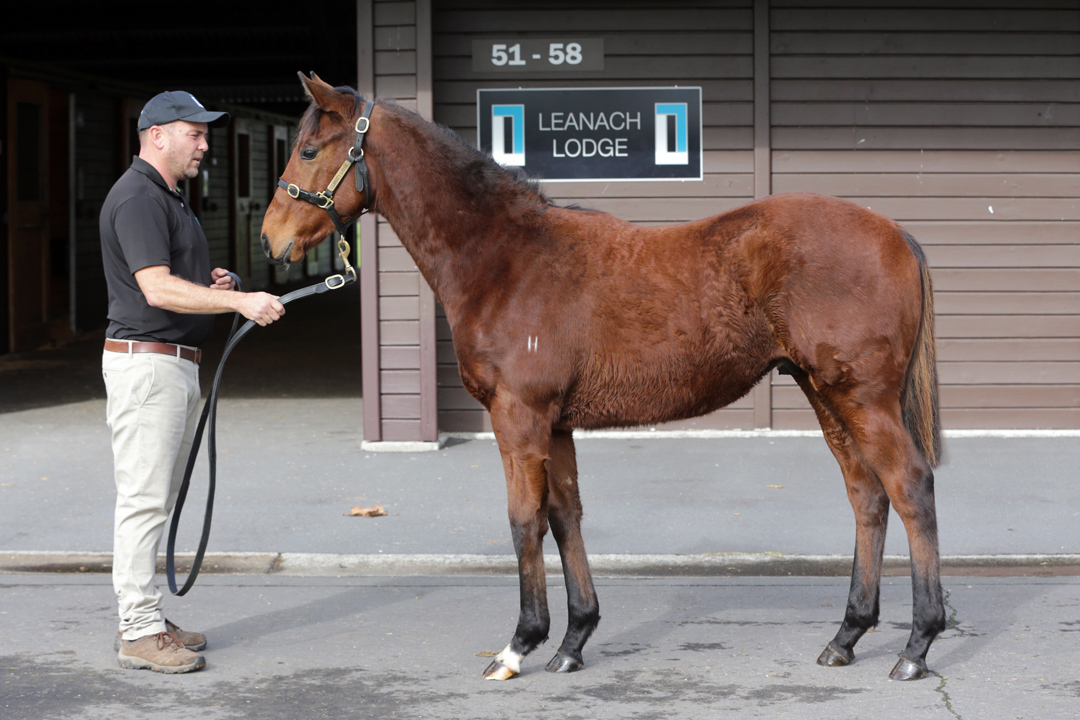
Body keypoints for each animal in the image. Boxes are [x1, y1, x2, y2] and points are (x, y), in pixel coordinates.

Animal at [260, 72, 946, 682]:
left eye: (309, 150)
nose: (270, 239)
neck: (504, 259)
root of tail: (896, 234)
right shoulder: (555, 423)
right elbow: (566, 515)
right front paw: (573, 640)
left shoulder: (519, 416)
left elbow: (524, 519)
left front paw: (520, 645)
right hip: (826, 394)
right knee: (867, 494)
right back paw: (847, 636)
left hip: (863, 398)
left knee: (910, 487)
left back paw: (917, 645)